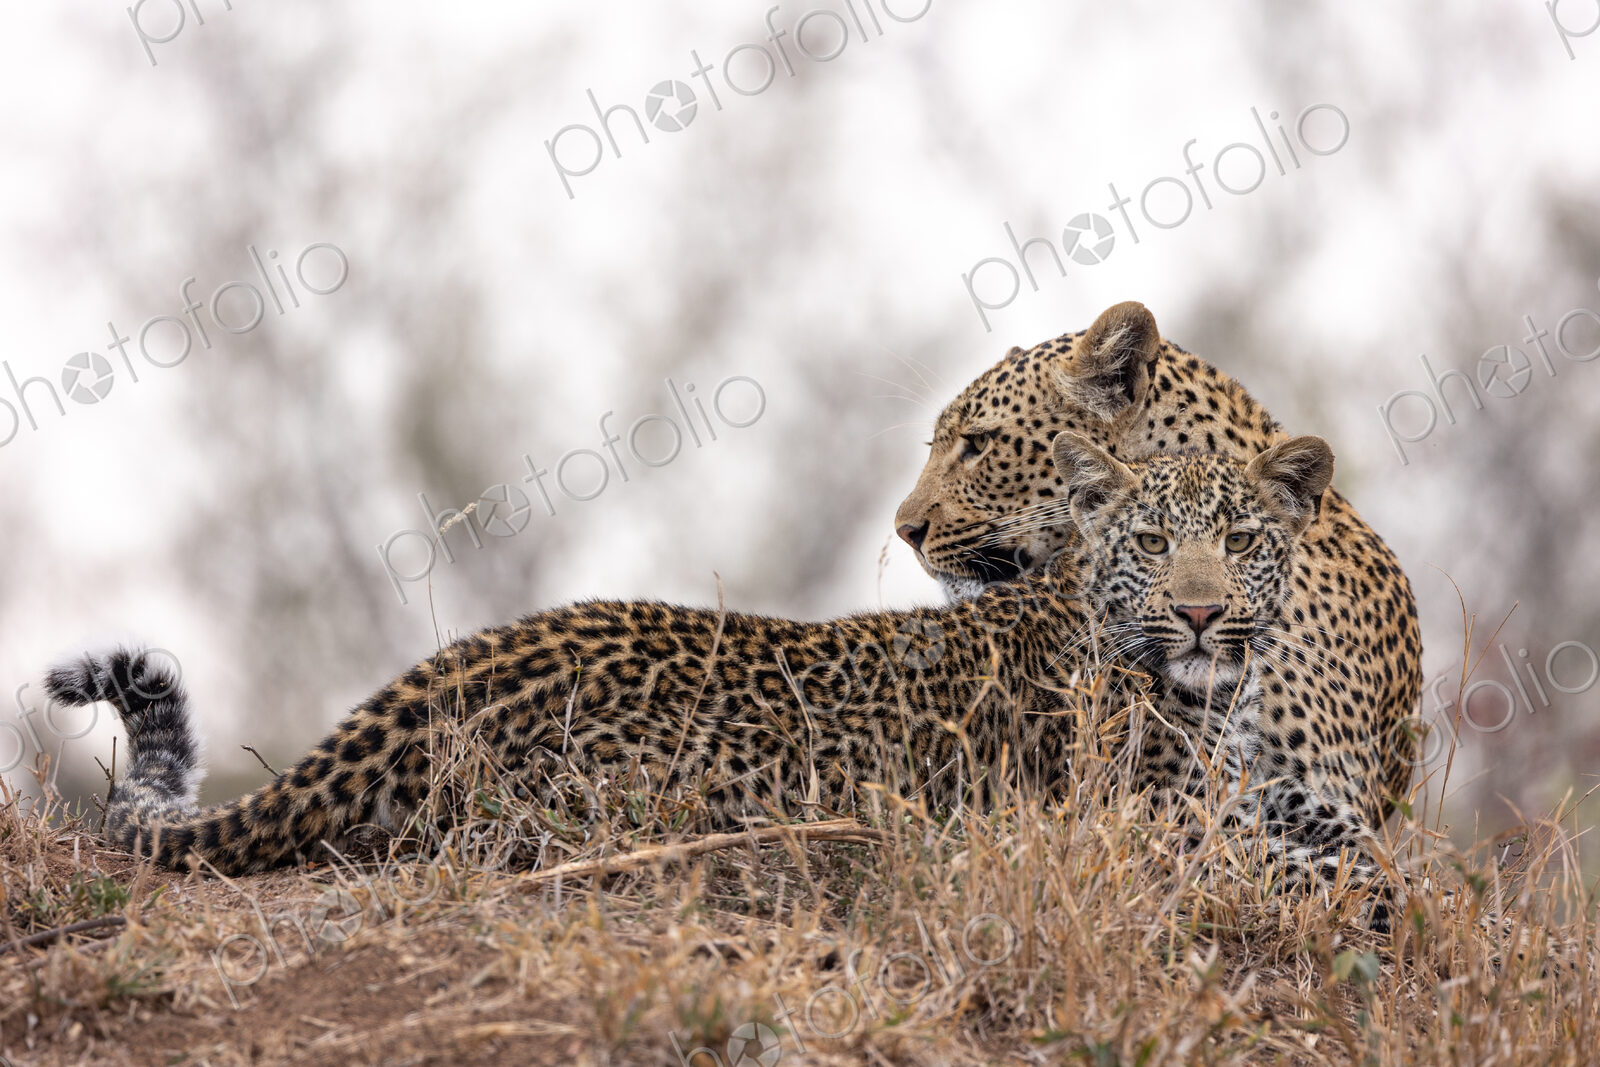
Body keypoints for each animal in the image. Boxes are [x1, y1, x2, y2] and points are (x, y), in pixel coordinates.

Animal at [45, 434, 1387, 921]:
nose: (1200, 608)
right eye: (1153, 540)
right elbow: (1305, 860)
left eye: (1241, 538)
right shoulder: (1143, 825)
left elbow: (1327, 826)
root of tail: (448, 668)